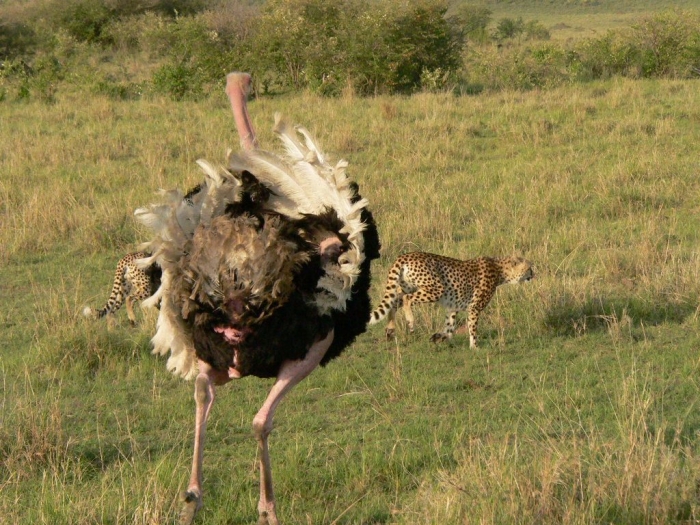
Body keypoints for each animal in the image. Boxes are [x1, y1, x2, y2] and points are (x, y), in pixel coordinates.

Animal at [369, 252, 534, 347]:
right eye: (529, 268)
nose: (534, 274)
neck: (500, 270)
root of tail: (406, 255)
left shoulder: (452, 307)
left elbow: (449, 326)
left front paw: (439, 337)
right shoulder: (474, 308)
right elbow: (472, 328)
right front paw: (475, 347)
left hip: (407, 286)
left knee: (395, 301)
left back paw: (390, 329)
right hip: (436, 289)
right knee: (407, 300)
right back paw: (410, 320)